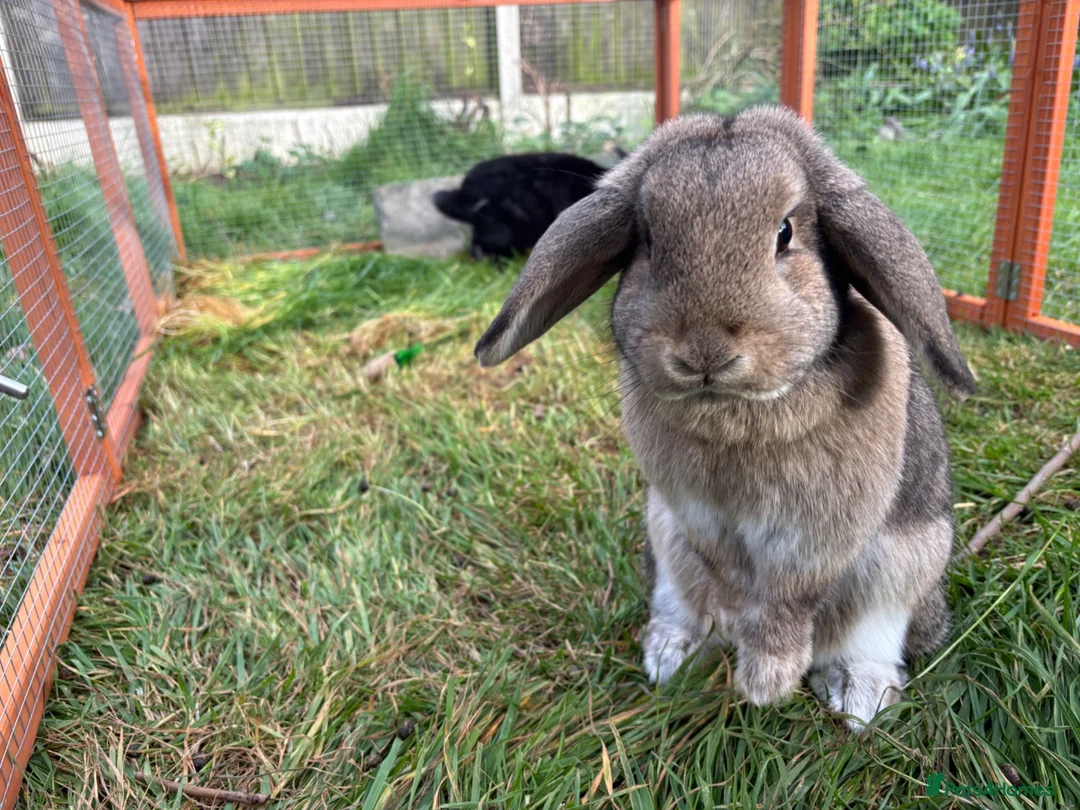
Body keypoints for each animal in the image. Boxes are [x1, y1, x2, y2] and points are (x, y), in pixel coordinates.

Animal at [473, 106, 975, 731]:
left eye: (785, 233)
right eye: (647, 238)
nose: (703, 352)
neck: (734, 413)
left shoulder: (815, 536)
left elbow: (787, 600)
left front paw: (766, 680)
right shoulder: (697, 515)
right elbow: (731, 582)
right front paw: (736, 637)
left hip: (901, 574)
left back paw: (856, 696)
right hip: (666, 542)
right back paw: (673, 653)